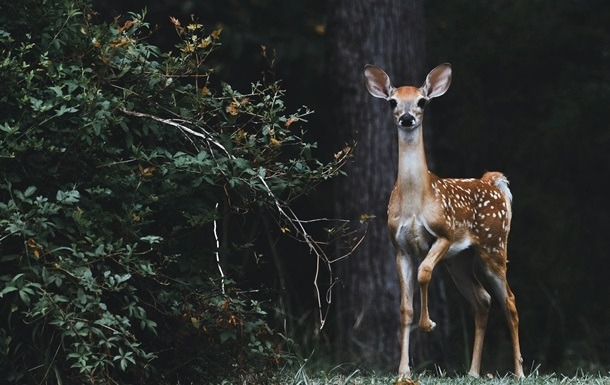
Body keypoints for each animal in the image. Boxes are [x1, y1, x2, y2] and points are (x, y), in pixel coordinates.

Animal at [360, 63, 524, 380]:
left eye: (422, 101)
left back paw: (519, 372)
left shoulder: (444, 234)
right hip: (459, 260)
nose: (407, 118)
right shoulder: (399, 247)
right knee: (482, 300)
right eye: (392, 102)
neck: (416, 201)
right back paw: (472, 372)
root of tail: (493, 182)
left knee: (509, 300)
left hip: (494, 245)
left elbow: (424, 273)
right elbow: (404, 308)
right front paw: (403, 372)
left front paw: (428, 324)